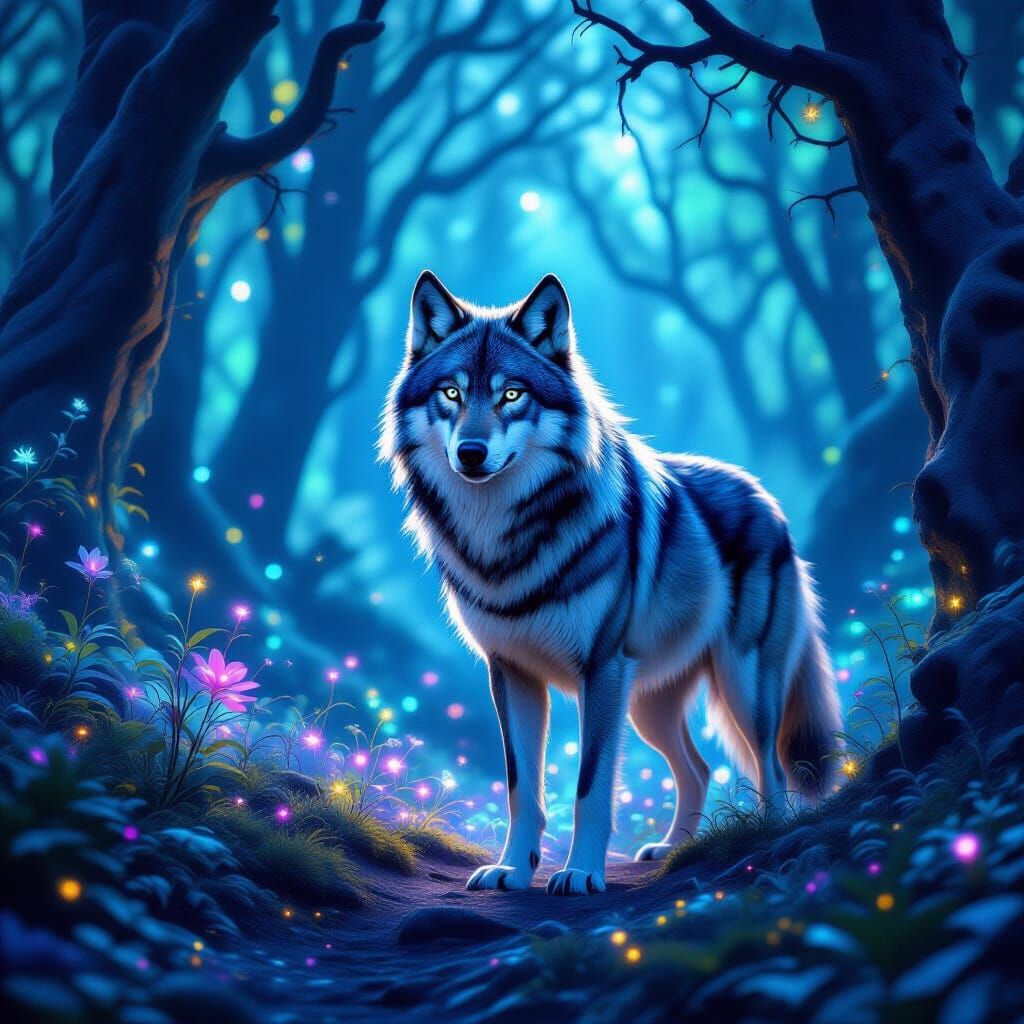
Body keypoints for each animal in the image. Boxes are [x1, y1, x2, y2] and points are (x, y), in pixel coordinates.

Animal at [380, 271, 841, 896]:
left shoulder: (599, 671)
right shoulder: (511, 673)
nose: (471, 453)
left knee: (770, 767)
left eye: (511, 395)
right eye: (451, 394)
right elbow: (521, 787)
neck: (503, 539)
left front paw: (579, 873)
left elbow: (589, 787)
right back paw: (673, 848)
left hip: (742, 687)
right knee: (698, 768)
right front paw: (512, 868)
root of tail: (765, 496)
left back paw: (765, 838)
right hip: (648, 706)